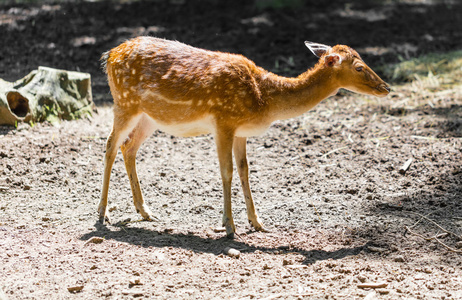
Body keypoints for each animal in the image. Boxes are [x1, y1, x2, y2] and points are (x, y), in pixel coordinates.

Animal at [98, 37, 390, 239]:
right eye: (359, 67)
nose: (386, 87)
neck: (263, 97)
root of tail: (109, 55)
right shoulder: (224, 121)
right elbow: (226, 171)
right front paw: (229, 227)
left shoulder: (241, 131)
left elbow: (244, 170)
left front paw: (257, 223)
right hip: (124, 103)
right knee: (110, 144)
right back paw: (102, 214)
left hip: (149, 116)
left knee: (129, 147)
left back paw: (145, 211)